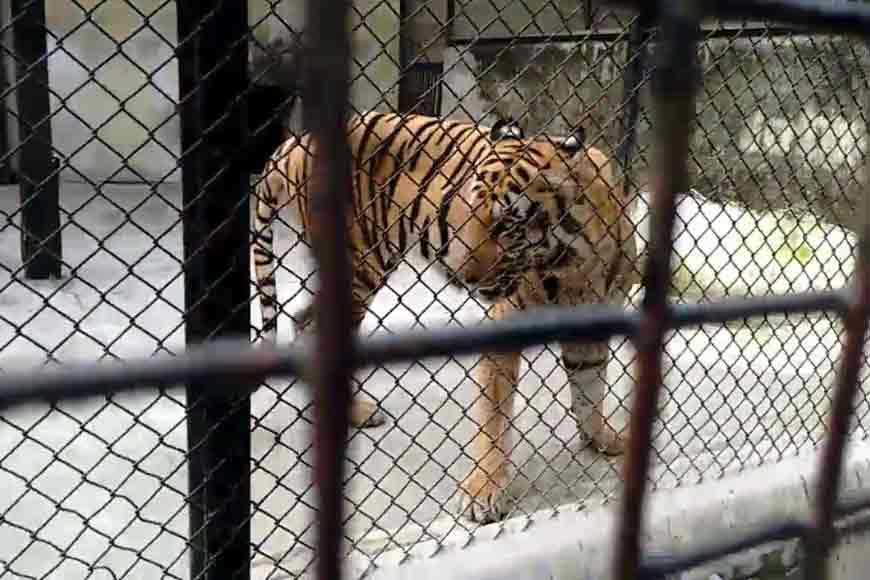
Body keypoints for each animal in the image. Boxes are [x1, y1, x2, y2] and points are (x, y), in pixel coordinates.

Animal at [251, 110, 641, 524]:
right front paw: (482, 492)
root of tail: (297, 141)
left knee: (302, 319)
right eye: (468, 209)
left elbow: (590, 390)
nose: (463, 273)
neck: (574, 264)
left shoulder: (593, 325)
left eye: (507, 224)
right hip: (361, 266)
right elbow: (495, 415)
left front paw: (602, 440)